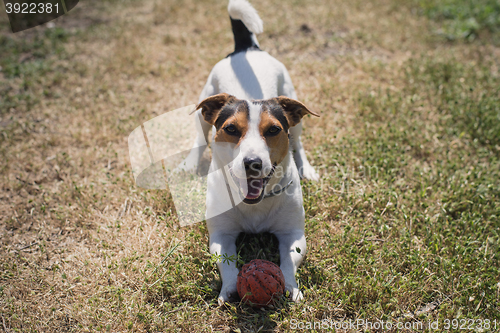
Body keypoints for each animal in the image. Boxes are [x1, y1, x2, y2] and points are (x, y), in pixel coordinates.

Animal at [180, 0, 320, 304]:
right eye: (231, 129)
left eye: (274, 130)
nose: (252, 162)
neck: (255, 203)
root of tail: (247, 48)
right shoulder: (221, 235)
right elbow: (227, 262)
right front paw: (230, 288)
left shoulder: (293, 234)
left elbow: (288, 260)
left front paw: (290, 286)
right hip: (203, 105)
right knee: (199, 138)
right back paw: (188, 163)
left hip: (295, 109)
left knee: (299, 143)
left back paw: (307, 168)